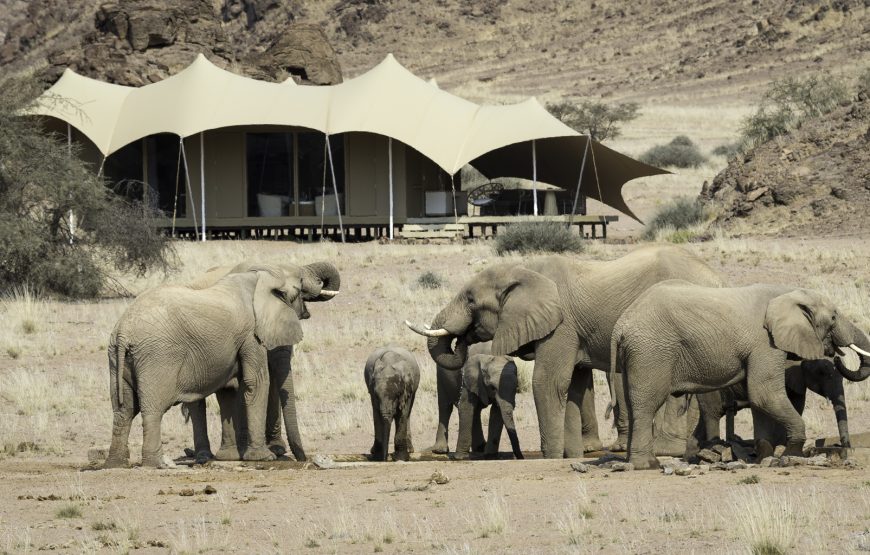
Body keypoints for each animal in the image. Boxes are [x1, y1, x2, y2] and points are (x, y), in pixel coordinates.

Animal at [106, 266, 310, 470]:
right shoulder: (251, 335)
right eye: (297, 294)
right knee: (153, 409)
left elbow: (228, 391)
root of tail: (123, 330)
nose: (302, 459)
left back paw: (115, 464)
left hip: (117, 356)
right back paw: (156, 464)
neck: (262, 276)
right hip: (157, 355)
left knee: (123, 411)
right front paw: (264, 457)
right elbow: (257, 383)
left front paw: (229, 457)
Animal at [406, 245, 724, 458]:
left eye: (471, 300)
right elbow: (574, 385)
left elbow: (548, 382)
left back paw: (667, 449)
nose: (463, 338)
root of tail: (716, 277)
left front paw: (550, 456)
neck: (523, 270)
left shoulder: (561, 325)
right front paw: (572, 455)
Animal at [612, 282, 870, 470]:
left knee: (633, 404)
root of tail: (620, 325)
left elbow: (761, 402)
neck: (787, 294)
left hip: (635, 356)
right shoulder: (765, 343)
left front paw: (764, 457)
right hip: (650, 352)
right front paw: (790, 454)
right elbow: (765, 394)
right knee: (647, 405)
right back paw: (648, 465)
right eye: (834, 317)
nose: (837, 355)